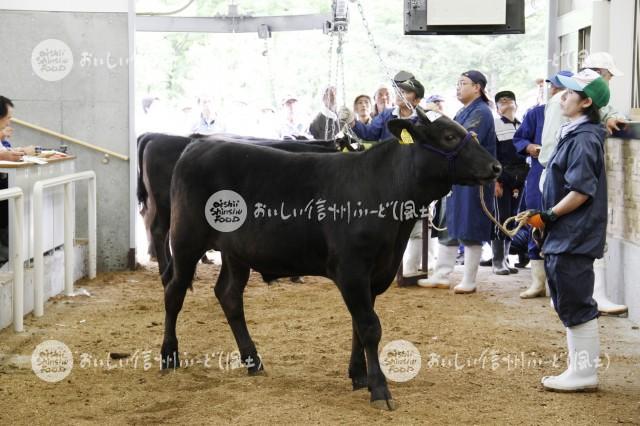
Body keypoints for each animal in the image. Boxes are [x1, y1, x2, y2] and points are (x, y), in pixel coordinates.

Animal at [162, 109, 502, 410]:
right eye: (449, 136)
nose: (496, 166)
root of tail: (197, 145)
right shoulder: (352, 269)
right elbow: (369, 327)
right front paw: (380, 390)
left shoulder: (376, 273)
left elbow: (358, 326)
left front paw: (359, 376)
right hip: (186, 239)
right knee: (174, 292)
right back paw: (169, 356)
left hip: (236, 252)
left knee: (229, 295)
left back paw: (253, 361)